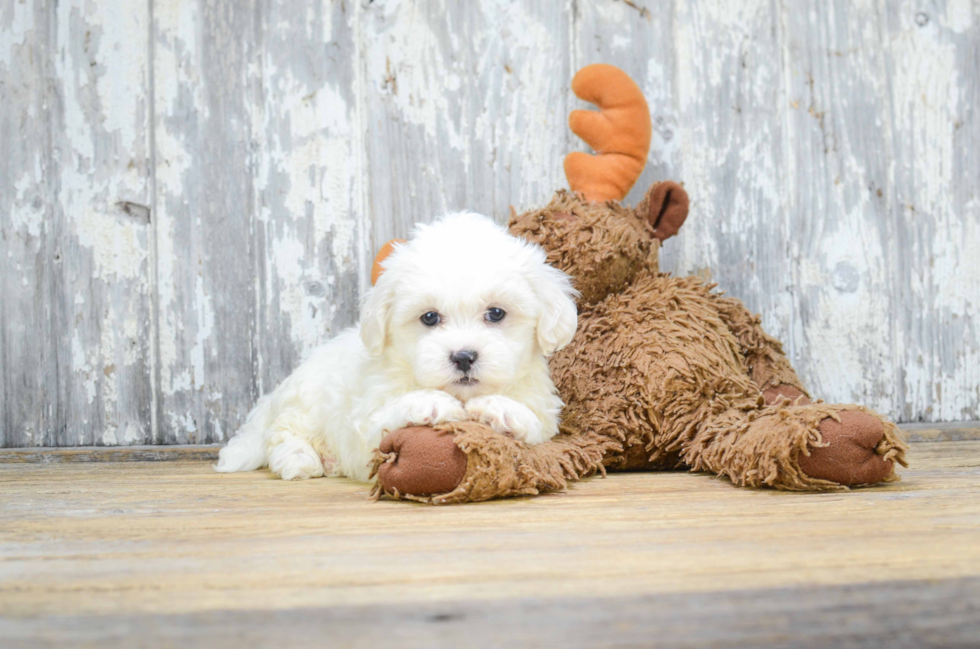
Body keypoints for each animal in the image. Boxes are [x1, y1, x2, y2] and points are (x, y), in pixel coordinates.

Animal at [216, 213, 576, 480]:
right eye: (429, 317)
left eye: (496, 313)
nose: (463, 357)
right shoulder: (364, 426)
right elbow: (383, 419)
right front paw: (429, 402)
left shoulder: (543, 410)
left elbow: (536, 424)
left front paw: (502, 409)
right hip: (305, 401)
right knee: (282, 433)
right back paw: (300, 458)